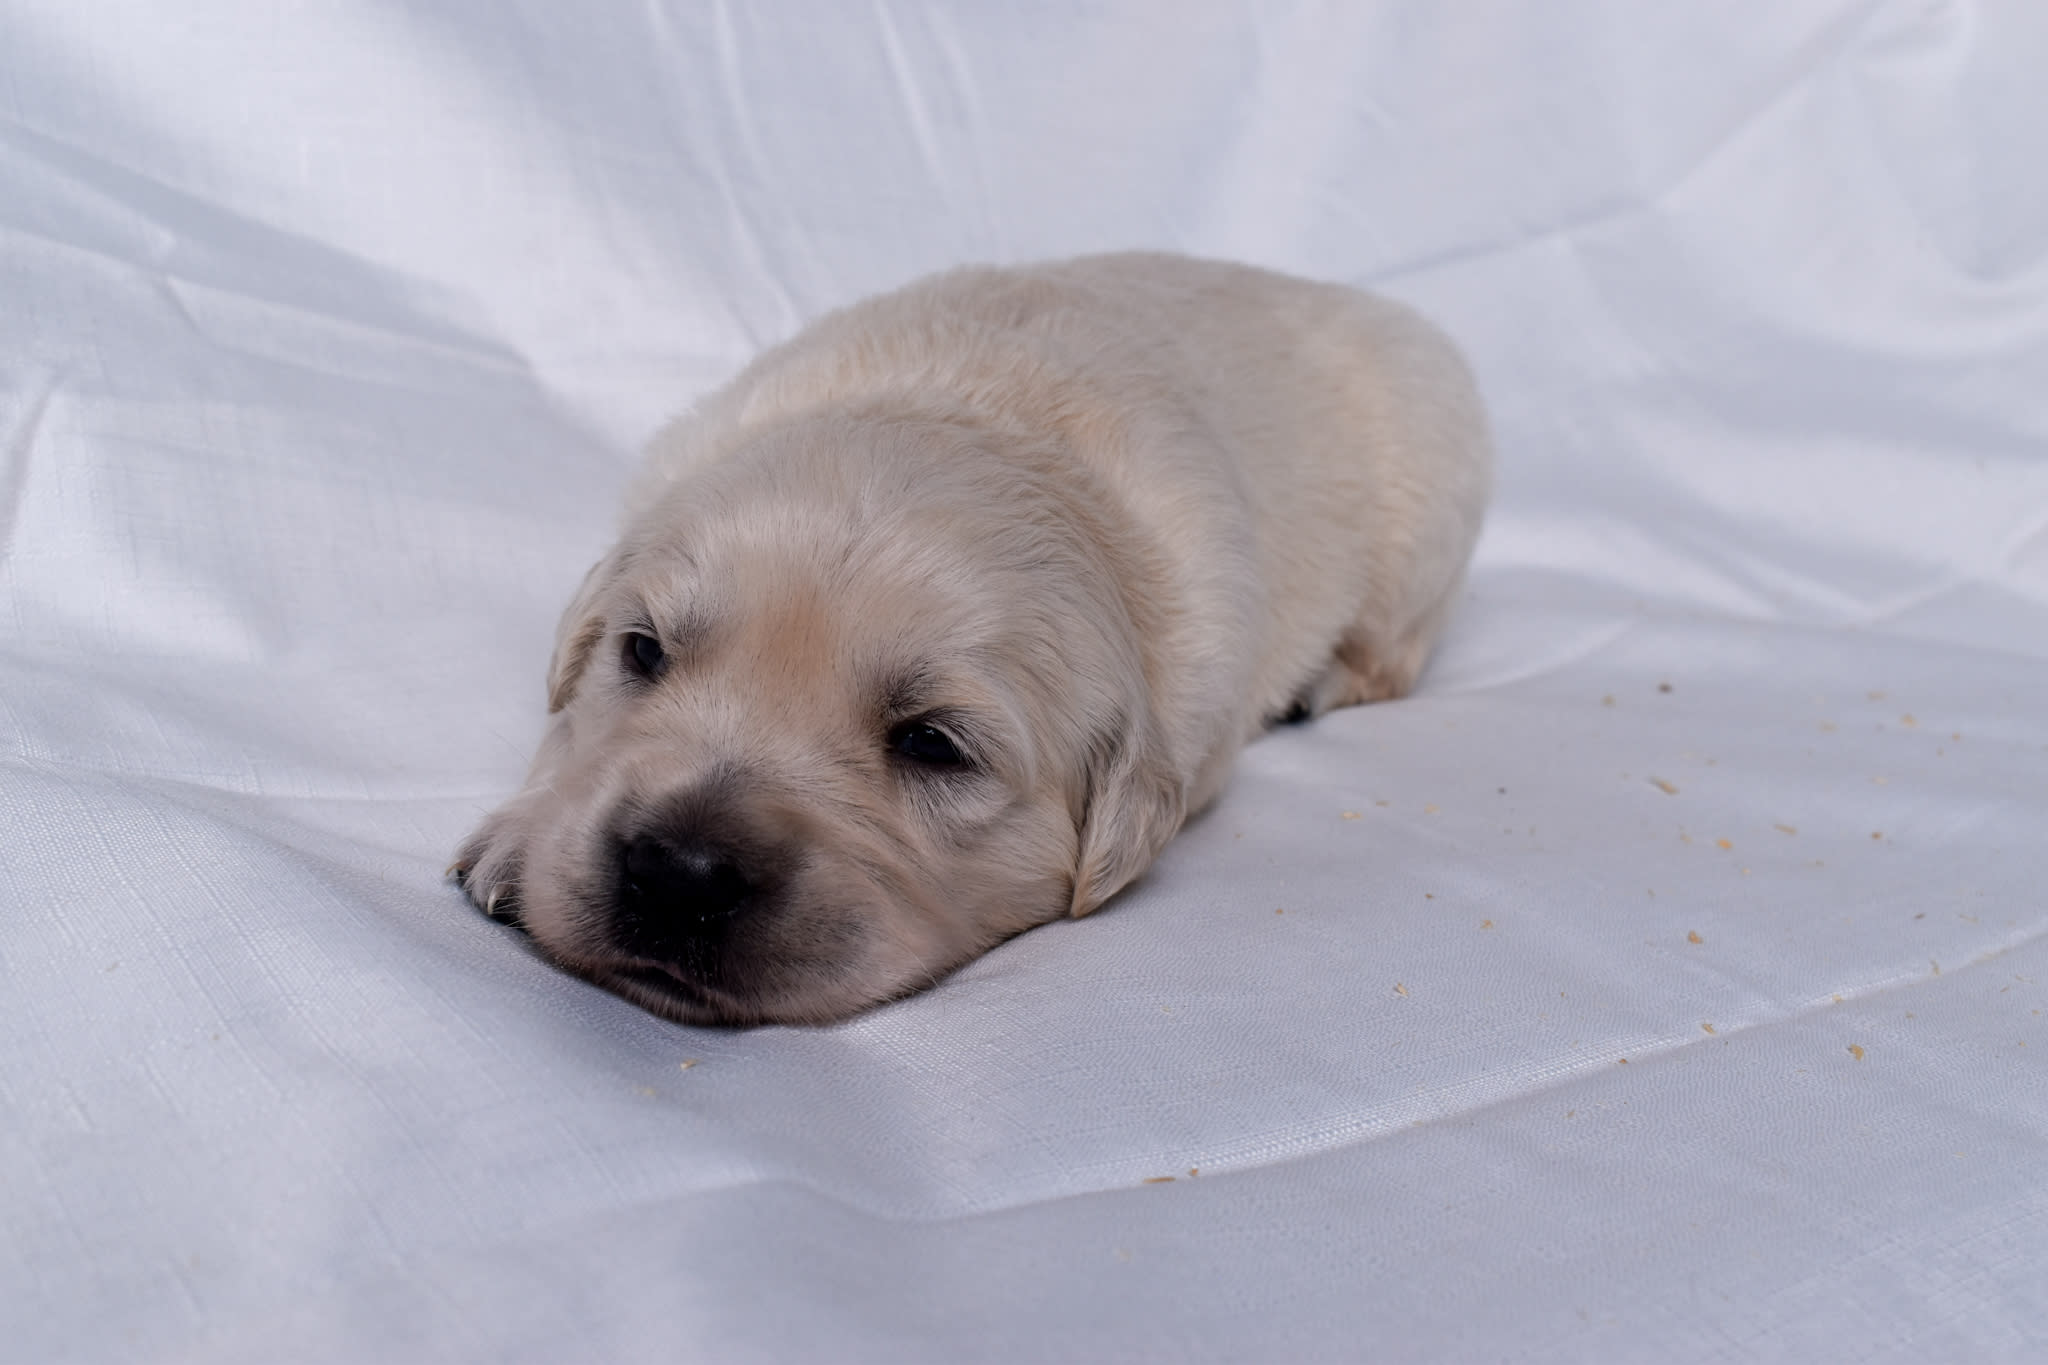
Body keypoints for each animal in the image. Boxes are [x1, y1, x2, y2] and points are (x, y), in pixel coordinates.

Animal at [452, 253, 1490, 1023]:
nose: (677, 873)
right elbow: (565, 729)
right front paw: (518, 835)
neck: (983, 411)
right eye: (643, 652)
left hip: (1429, 514)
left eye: (931, 744)